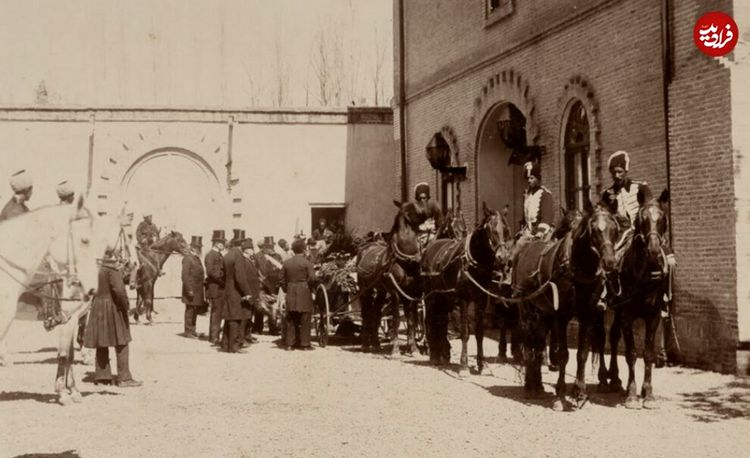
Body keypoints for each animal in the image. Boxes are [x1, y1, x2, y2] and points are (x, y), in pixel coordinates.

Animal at [0, 195, 118, 405]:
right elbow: (64, 354)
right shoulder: (68, 319)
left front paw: (73, 390)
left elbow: (68, 354)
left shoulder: (70, 318)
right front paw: (64, 392)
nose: (90, 288)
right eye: (85, 240)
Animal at [356, 200, 422, 355]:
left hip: (380, 291)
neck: (405, 260)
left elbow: (411, 320)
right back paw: (365, 344)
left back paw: (376, 344)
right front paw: (395, 348)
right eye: (413, 207)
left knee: (376, 313)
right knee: (366, 314)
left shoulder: (410, 293)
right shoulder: (395, 292)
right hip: (365, 289)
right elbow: (396, 318)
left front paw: (413, 348)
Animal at [420, 202, 509, 375]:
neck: (473, 263)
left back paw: (443, 352)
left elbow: (479, 332)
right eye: (491, 230)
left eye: (506, 230)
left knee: (441, 321)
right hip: (430, 296)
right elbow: (465, 332)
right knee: (430, 320)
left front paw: (481, 364)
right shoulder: (463, 300)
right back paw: (434, 354)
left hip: (444, 297)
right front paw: (464, 365)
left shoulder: (481, 300)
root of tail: (430, 247)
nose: (503, 258)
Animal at [599, 188, 671, 409]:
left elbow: (647, 354)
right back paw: (603, 380)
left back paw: (615, 379)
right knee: (601, 339)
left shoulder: (653, 316)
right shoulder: (627, 315)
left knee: (613, 338)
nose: (654, 250)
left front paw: (648, 394)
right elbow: (631, 354)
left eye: (663, 218)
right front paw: (632, 395)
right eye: (642, 218)